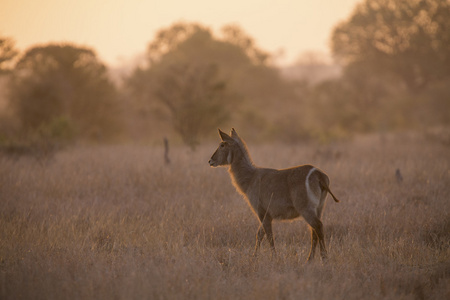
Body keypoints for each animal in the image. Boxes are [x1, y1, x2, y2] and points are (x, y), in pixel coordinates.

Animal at [209, 127, 340, 262]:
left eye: (222, 145)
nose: (210, 160)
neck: (250, 178)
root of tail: (319, 175)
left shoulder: (262, 212)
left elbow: (268, 236)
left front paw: (273, 257)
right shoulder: (267, 215)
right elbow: (259, 234)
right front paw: (254, 256)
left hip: (306, 209)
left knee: (318, 227)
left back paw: (324, 259)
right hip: (319, 208)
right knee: (314, 232)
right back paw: (309, 260)